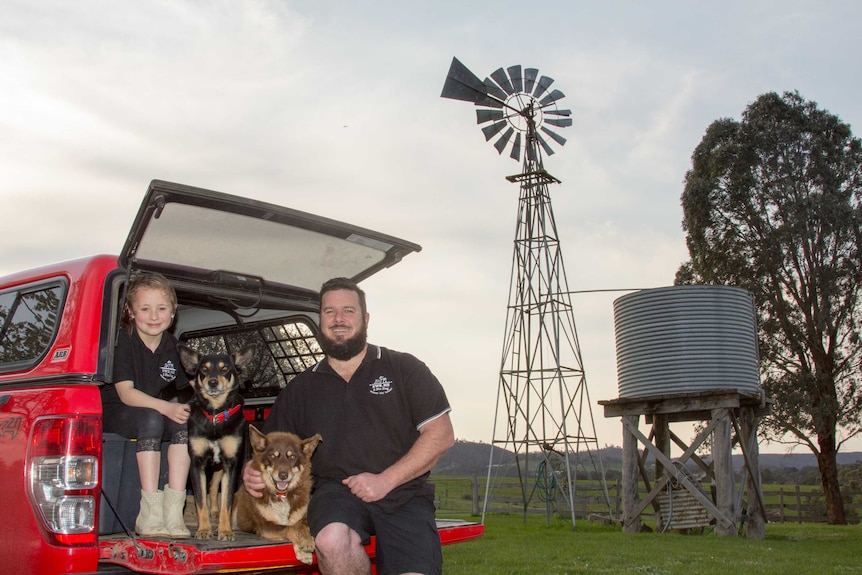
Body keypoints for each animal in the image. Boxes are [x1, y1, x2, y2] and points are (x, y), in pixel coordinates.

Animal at [177, 344, 255, 544]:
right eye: (204, 369)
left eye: (224, 368)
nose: (212, 382)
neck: (215, 415)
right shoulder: (197, 464)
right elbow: (200, 501)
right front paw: (204, 530)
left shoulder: (231, 464)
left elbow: (227, 501)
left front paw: (226, 531)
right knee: (212, 488)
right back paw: (213, 512)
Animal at [235, 426, 322, 564]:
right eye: (272, 456)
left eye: (292, 457)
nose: (283, 475)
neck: (282, 496)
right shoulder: (266, 526)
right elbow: (289, 528)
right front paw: (304, 548)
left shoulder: (302, 518)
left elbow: (301, 526)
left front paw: (306, 540)